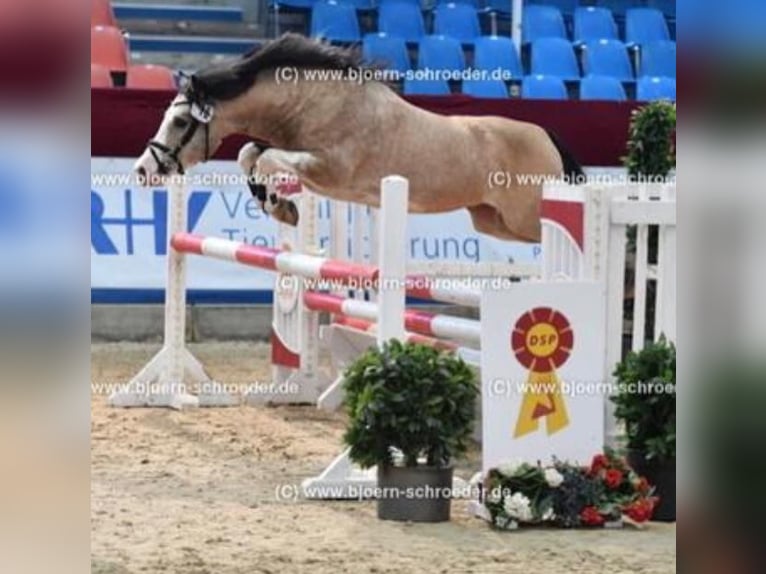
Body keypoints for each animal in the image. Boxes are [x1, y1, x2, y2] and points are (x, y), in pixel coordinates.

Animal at [135, 32, 584, 243]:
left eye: (180, 123)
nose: (142, 171)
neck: (312, 103)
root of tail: (546, 135)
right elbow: (250, 153)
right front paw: (278, 206)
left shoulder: (329, 168)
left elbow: (264, 158)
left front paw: (280, 204)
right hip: (495, 222)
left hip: (526, 217)